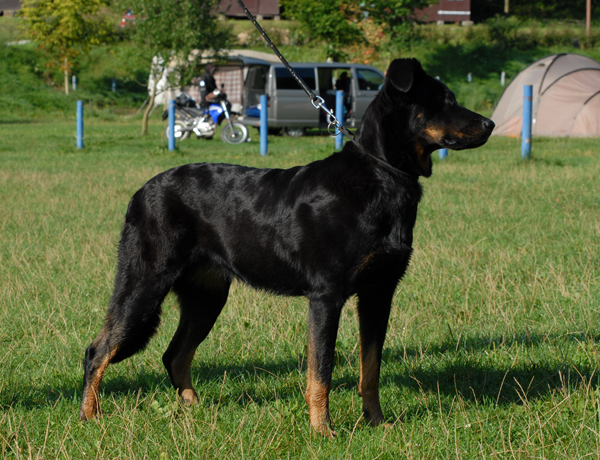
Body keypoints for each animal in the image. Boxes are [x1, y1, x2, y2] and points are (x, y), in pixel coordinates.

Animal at [78, 58, 492, 434]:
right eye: (445, 99)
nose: (489, 124)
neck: (382, 176)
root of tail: (139, 193)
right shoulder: (326, 297)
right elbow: (321, 371)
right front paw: (323, 431)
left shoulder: (379, 294)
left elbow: (370, 369)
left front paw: (376, 422)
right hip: (144, 284)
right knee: (98, 350)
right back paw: (89, 417)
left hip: (206, 297)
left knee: (174, 355)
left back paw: (195, 411)